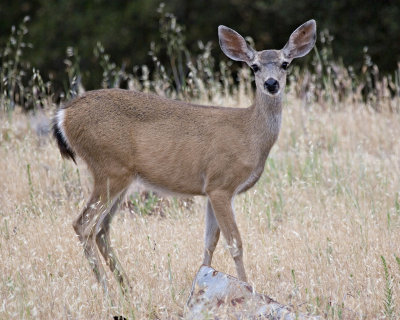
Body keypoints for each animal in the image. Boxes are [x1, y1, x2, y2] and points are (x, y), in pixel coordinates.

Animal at [52, 20, 316, 296]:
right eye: (254, 66)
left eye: (285, 63)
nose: (271, 83)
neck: (250, 134)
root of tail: (64, 115)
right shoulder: (221, 184)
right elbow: (235, 243)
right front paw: (247, 288)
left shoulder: (211, 189)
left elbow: (210, 242)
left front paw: (201, 283)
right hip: (109, 168)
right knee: (83, 225)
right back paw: (108, 292)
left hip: (120, 176)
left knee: (102, 229)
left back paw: (128, 289)